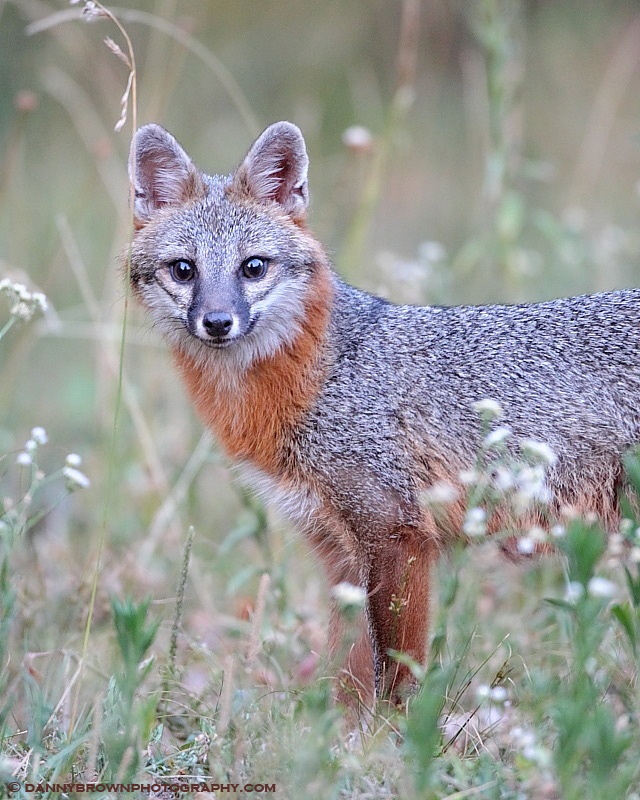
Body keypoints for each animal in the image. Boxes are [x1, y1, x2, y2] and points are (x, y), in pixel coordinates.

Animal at [126, 120, 640, 707]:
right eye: (183, 271)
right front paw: (331, 732)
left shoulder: (397, 533)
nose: (217, 322)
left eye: (252, 267)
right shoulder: (338, 550)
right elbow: (345, 677)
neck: (323, 371)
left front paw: (401, 731)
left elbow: (396, 672)